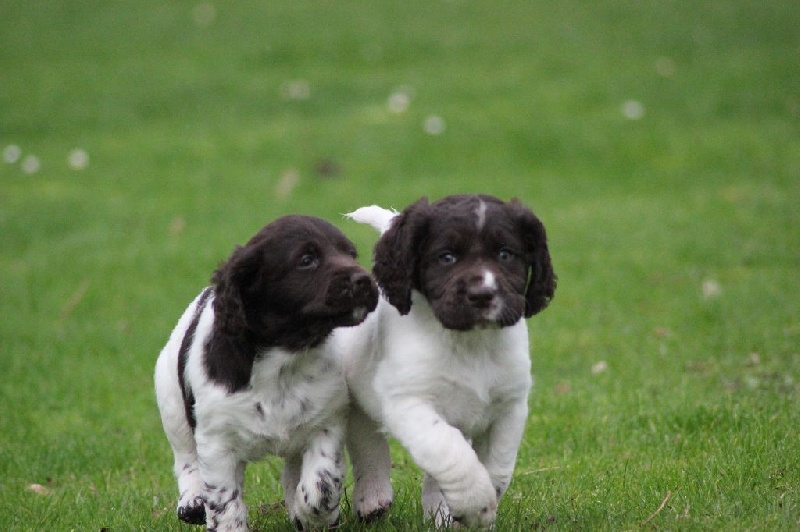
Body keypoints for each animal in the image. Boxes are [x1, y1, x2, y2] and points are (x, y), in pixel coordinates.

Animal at [154, 215, 379, 531]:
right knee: (186, 457)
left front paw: (312, 515)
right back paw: (192, 501)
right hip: (171, 403)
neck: (283, 361)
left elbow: (322, 483)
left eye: (351, 254)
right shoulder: (217, 442)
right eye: (306, 259)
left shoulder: (327, 421)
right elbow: (225, 502)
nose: (365, 280)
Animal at [333, 195, 556, 528]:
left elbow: (497, 466)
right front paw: (476, 505)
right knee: (368, 445)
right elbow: (449, 451)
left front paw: (473, 513)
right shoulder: (410, 403)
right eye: (446, 257)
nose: (482, 294)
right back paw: (373, 498)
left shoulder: (510, 406)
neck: (471, 344)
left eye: (505, 254)